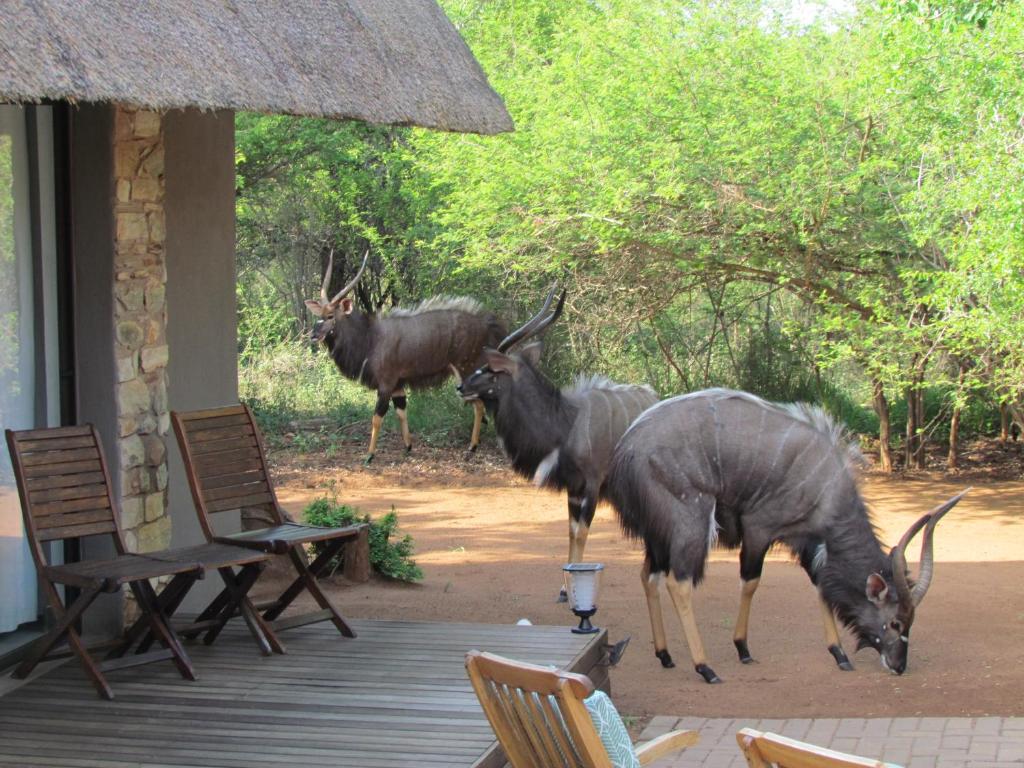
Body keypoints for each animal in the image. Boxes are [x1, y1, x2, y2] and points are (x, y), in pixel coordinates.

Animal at [305, 253, 509, 462]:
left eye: (330, 315)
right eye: (320, 314)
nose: (313, 335)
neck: (371, 337)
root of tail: (487, 324)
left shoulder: (386, 384)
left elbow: (377, 417)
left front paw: (369, 455)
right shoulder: (398, 386)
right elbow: (401, 411)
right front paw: (408, 447)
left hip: (465, 370)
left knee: (479, 405)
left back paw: (472, 447)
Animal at [454, 290, 655, 606]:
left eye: (491, 369)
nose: (461, 388)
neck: (565, 422)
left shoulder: (592, 485)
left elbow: (582, 533)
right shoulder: (573, 488)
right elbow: (571, 533)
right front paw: (564, 589)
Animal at [602, 391, 962, 684]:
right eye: (896, 623)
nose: (899, 666)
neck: (828, 487)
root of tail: (624, 450)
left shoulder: (807, 541)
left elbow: (821, 585)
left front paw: (839, 653)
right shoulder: (759, 528)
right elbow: (751, 582)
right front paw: (742, 648)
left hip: (658, 536)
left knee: (648, 575)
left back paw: (665, 655)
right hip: (689, 522)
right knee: (678, 582)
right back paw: (705, 667)